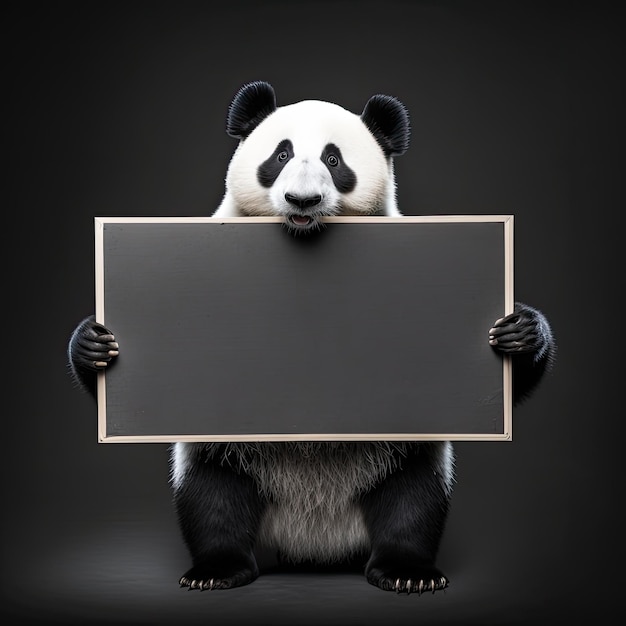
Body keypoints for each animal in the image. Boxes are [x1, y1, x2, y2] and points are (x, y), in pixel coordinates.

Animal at [69, 80, 556, 592]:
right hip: (226, 454)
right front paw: (94, 344)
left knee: (412, 500)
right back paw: (218, 570)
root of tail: (315, 543)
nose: (302, 201)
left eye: (334, 160)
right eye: (281, 154)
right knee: (212, 499)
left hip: (400, 454)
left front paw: (521, 332)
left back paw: (405, 572)